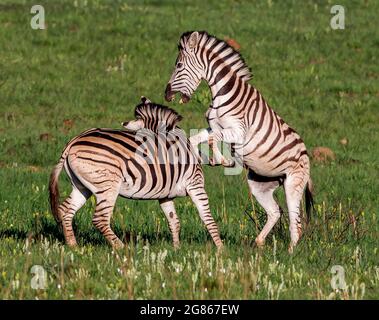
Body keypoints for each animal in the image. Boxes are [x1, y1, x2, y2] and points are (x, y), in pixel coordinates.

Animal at [49, 97, 224, 250]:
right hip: (108, 185)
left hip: (82, 185)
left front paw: (176, 249)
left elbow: (174, 221)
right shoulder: (196, 185)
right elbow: (207, 218)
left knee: (65, 210)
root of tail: (74, 141)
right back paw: (121, 247)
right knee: (100, 219)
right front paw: (221, 250)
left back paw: (73, 246)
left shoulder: (165, 195)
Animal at [165, 31, 314, 252]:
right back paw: (259, 242)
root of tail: (306, 155)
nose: (166, 94)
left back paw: (290, 253)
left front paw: (222, 160)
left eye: (179, 65)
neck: (221, 93)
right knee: (274, 212)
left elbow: (214, 139)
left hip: (293, 184)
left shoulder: (238, 132)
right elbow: (196, 138)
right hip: (260, 184)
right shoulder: (214, 126)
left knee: (296, 221)